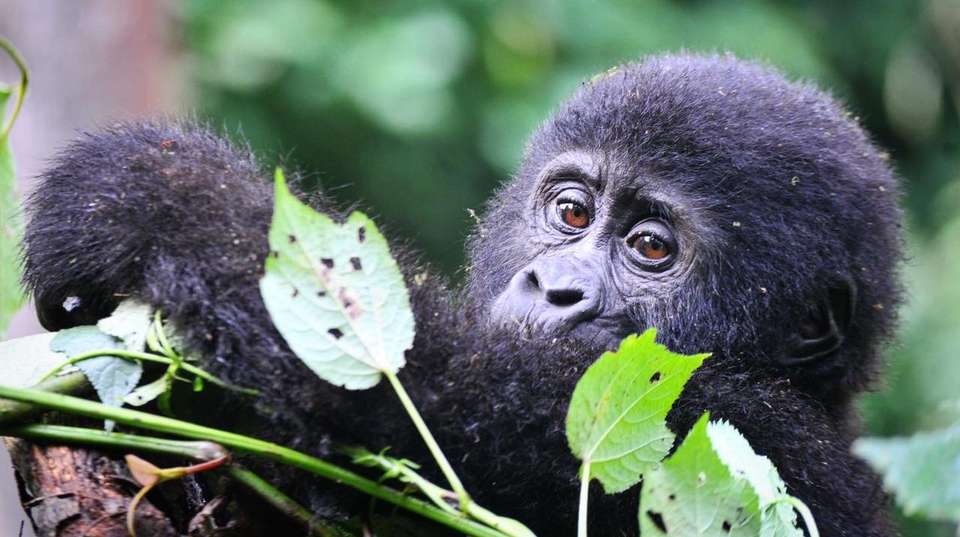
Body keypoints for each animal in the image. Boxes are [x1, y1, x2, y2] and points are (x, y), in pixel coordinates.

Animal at [21, 53, 901, 536]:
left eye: (651, 248)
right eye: (571, 211)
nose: (555, 287)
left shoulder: (732, 427)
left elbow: (423, 396)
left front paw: (142, 192)